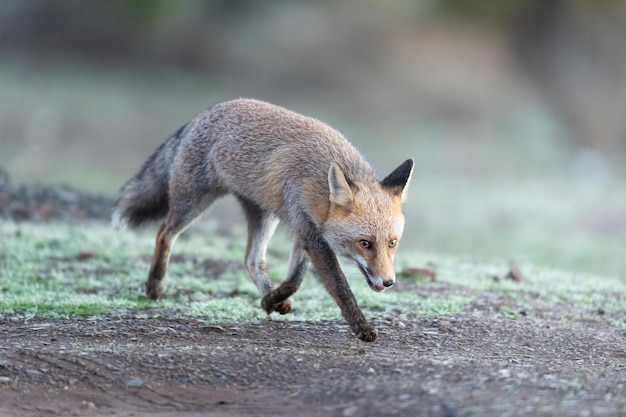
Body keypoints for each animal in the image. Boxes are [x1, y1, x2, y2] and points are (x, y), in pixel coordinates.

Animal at [112, 98, 412, 342]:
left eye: (392, 243)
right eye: (365, 243)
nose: (389, 282)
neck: (318, 178)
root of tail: (205, 113)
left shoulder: (303, 229)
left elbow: (294, 279)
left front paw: (271, 299)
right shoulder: (309, 231)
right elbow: (338, 285)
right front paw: (361, 326)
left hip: (263, 214)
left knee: (251, 259)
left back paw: (269, 296)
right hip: (194, 203)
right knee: (164, 232)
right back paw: (154, 285)